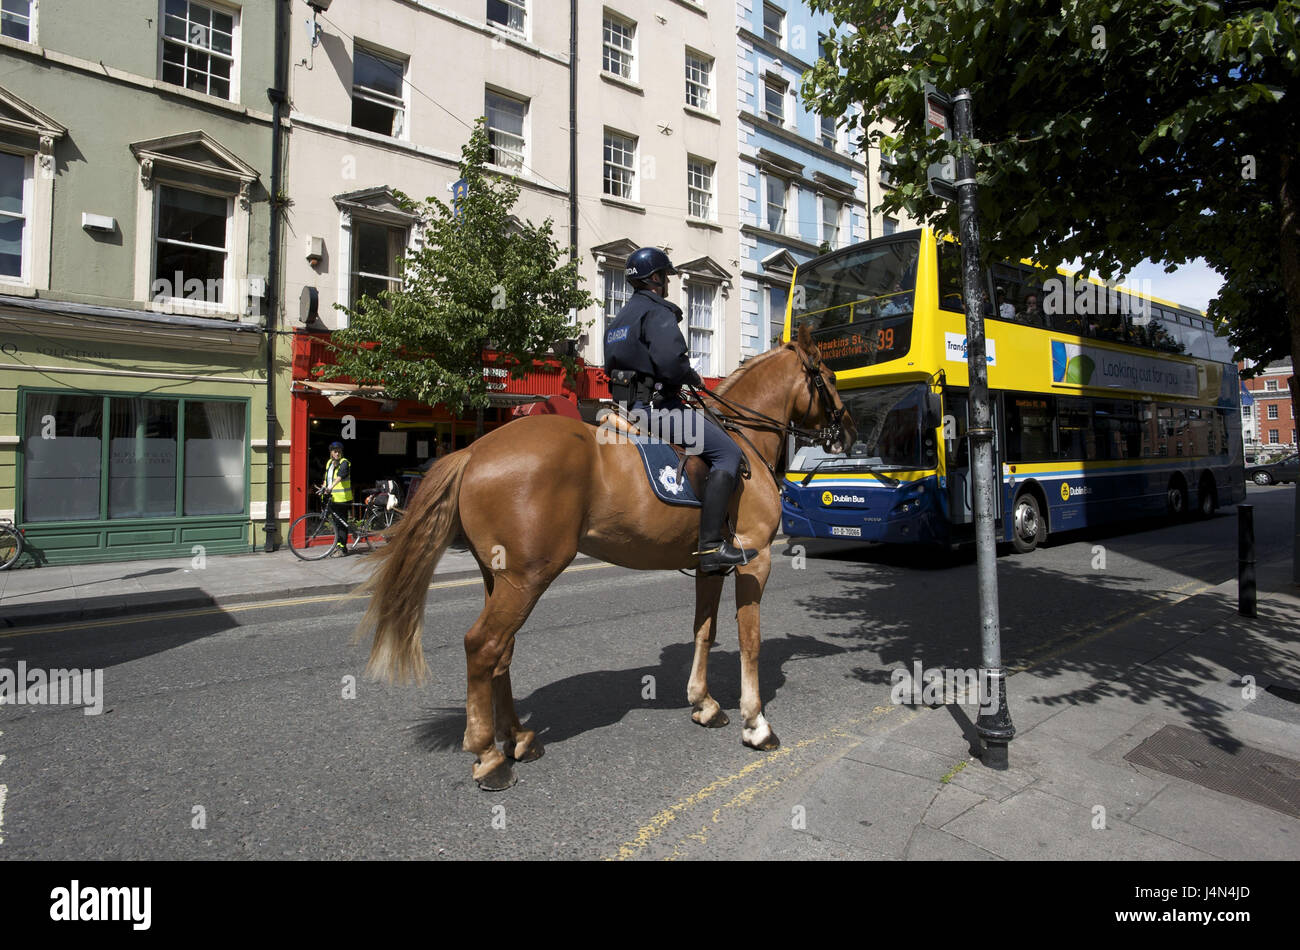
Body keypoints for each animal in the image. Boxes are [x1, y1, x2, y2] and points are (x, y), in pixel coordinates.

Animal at [358, 323, 852, 790]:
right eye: (829, 377)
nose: (849, 430)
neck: (744, 438)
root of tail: (475, 449)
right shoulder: (754, 559)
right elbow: (750, 642)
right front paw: (756, 723)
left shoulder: (709, 566)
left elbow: (704, 631)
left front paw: (704, 703)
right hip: (528, 577)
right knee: (483, 646)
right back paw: (489, 757)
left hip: (498, 578)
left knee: (502, 651)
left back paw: (517, 737)